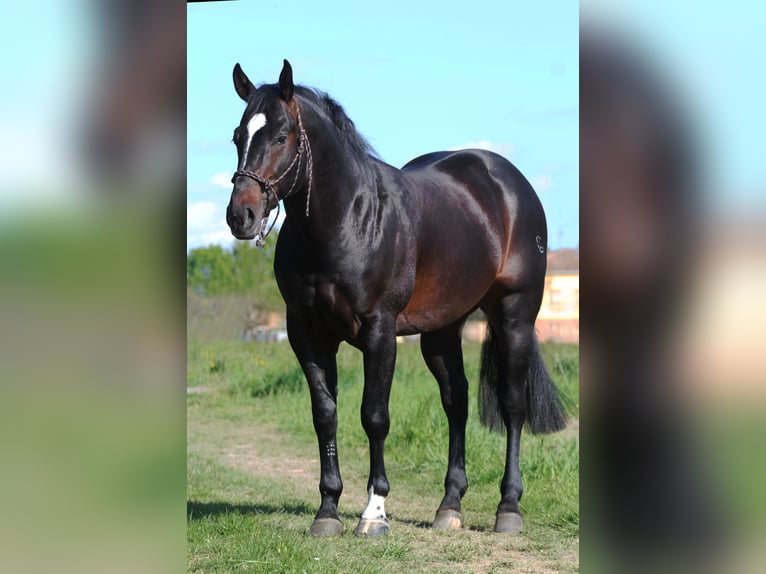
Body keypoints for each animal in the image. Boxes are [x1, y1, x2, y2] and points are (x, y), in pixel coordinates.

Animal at [225, 59, 568, 540]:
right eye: (238, 135)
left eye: (280, 136)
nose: (241, 215)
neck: (346, 219)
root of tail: (508, 182)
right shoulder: (306, 334)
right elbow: (324, 415)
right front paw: (327, 511)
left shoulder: (379, 331)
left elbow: (374, 415)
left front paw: (374, 512)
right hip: (442, 331)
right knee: (456, 401)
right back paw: (449, 506)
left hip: (514, 317)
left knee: (512, 405)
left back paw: (509, 508)